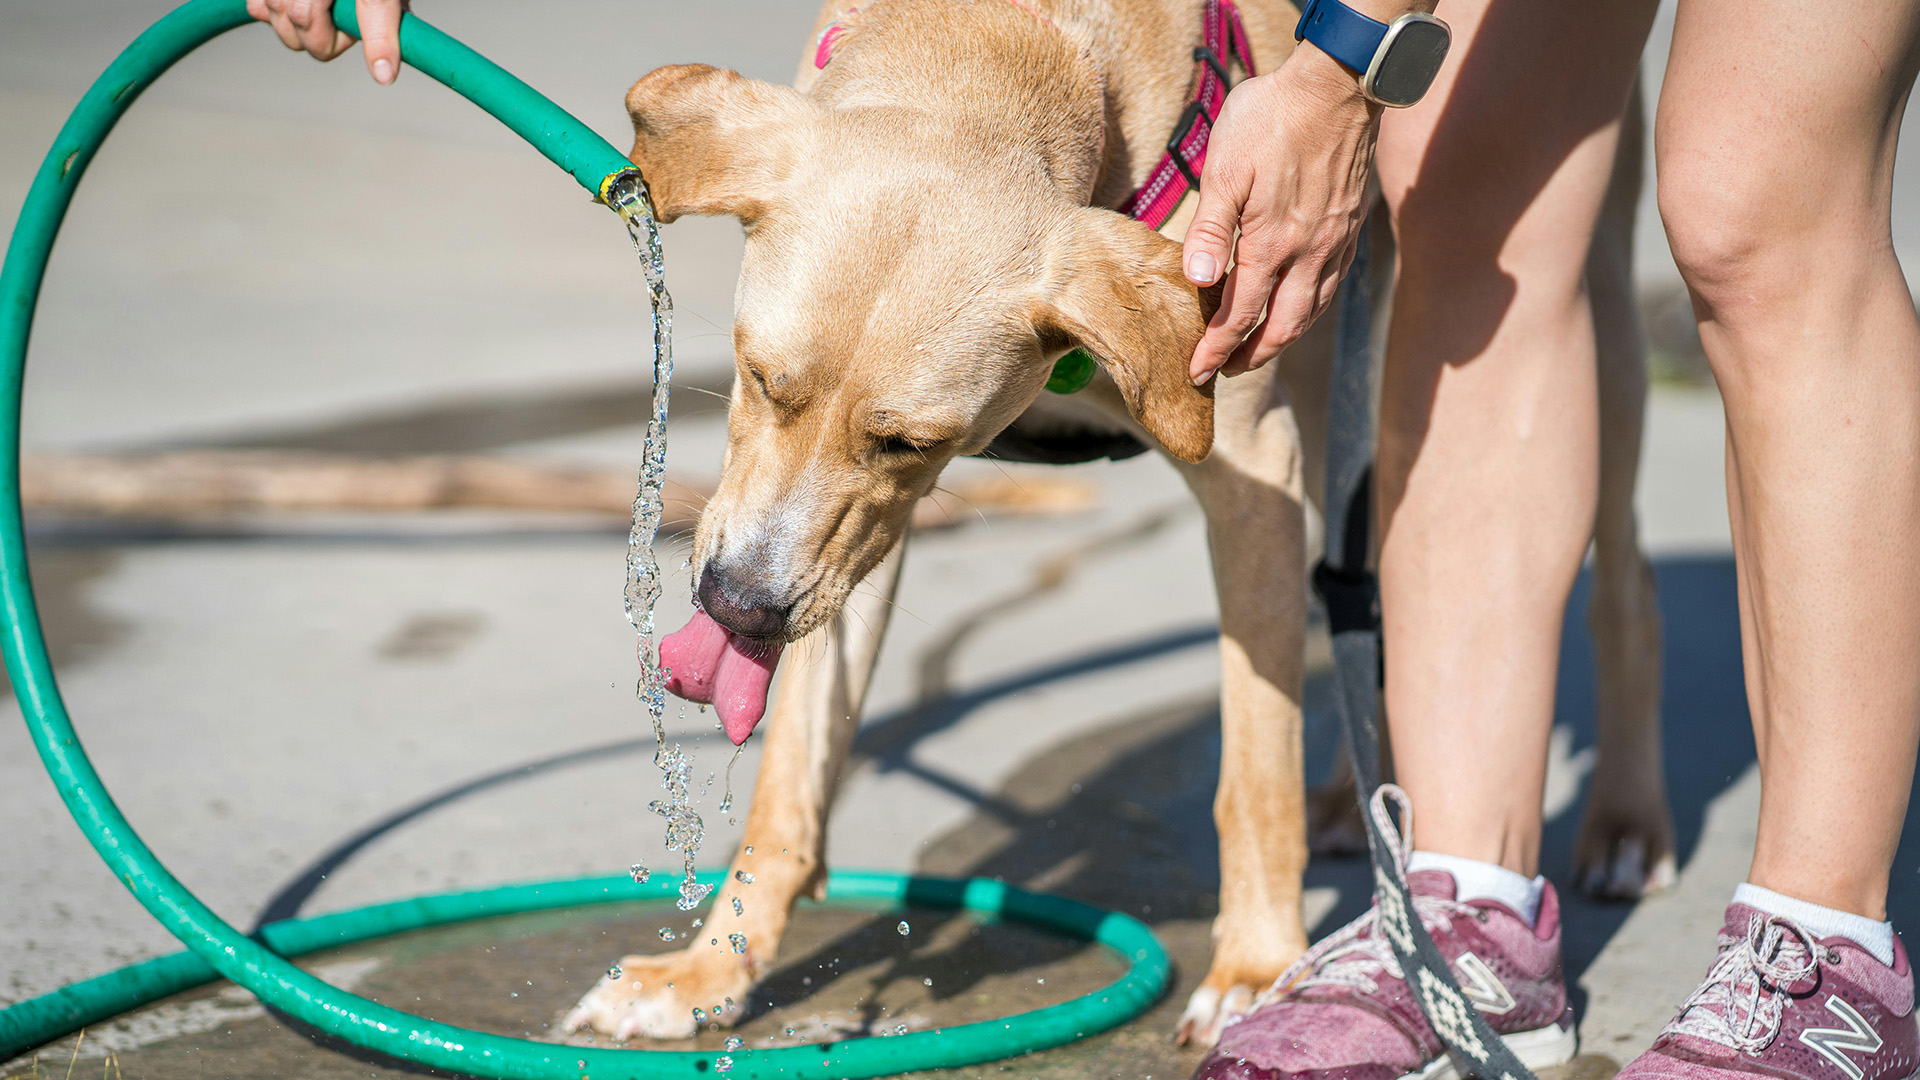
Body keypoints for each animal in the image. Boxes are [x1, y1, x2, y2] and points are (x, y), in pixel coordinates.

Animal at [560, 0, 1666, 1045]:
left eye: (911, 442)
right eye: (758, 379)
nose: (735, 608)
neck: (1010, 41)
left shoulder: (1251, 472)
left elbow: (1253, 771)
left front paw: (1256, 969)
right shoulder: (847, 545)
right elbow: (791, 776)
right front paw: (709, 973)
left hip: (1568, 313)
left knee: (1622, 578)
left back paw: (1625, 823)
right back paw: (1358, 804)